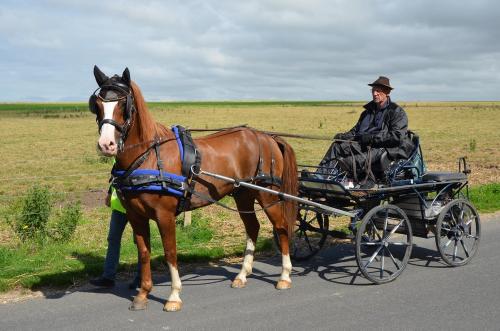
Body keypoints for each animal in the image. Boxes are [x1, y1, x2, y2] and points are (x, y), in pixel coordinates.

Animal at [89, 66, 296, 312]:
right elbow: (144, 252)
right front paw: (143, 294)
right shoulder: (135, 215)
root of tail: (267, 136)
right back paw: (242, 275)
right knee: (253, 227)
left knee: (281, 227)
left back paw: (284, 276)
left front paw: (174, 296)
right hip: (243, 194)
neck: (149, 156)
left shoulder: (165, 215)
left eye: (123, 104)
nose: (106, 145)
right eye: (97, 104)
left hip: (267, 194)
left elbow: (170, 252)